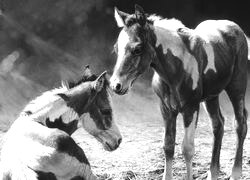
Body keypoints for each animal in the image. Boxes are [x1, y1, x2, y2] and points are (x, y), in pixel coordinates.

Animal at [111, 4, 248, 180]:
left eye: (137, 49)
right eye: (116, 48)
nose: (116, 85)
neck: (175, 70)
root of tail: (236, 28)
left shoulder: (191, 108)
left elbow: (187, 148)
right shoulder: (166, 109)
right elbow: (168, 145)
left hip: (237, 87)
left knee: (240, 124)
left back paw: (236, 173)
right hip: (211, 96)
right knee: (218, 125)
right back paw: (213, 173)